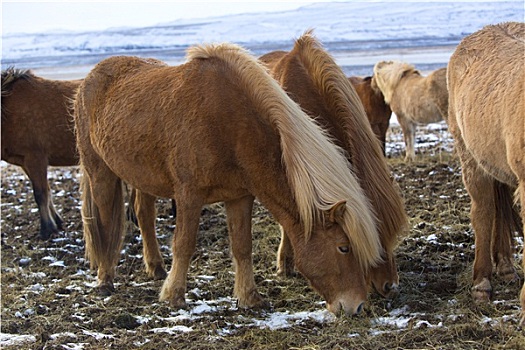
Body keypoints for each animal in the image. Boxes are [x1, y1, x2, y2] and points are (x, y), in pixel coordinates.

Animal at [1, 67, 81, 239]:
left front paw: (47, 230)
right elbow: (47, 191)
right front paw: (57, 222)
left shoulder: (35, 158)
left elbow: (40, 194)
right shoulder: (25, 162)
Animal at [73, 42, 382, 316]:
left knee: (143, 215)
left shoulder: (239, 197)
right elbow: (184, 244)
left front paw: (249, 298)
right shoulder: (189, 195)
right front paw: (173, 296)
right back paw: (105, 279)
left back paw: (156, 268)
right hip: (99, 172)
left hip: (141, 176)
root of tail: (89, 78)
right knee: (104, 225)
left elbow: (242, 247)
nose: (357, 306)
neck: (229, 123)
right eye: (344, 247)